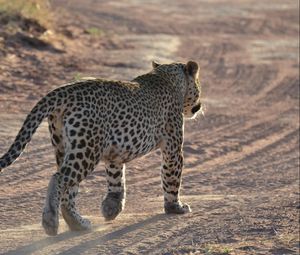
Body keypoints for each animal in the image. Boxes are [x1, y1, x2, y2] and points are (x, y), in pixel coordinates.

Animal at [0, 59, 203, 235]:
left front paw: (111, 208)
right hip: (87, 149)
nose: (199, 106)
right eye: (199, 86)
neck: (169, 78)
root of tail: (65, 90)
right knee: (58, 178)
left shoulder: (115, 154)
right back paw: (51, 221)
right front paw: (175, 207)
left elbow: (116, 180)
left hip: (65, 148)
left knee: (68, 190)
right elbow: (172, 178)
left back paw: (79, 224)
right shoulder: (173, 148)